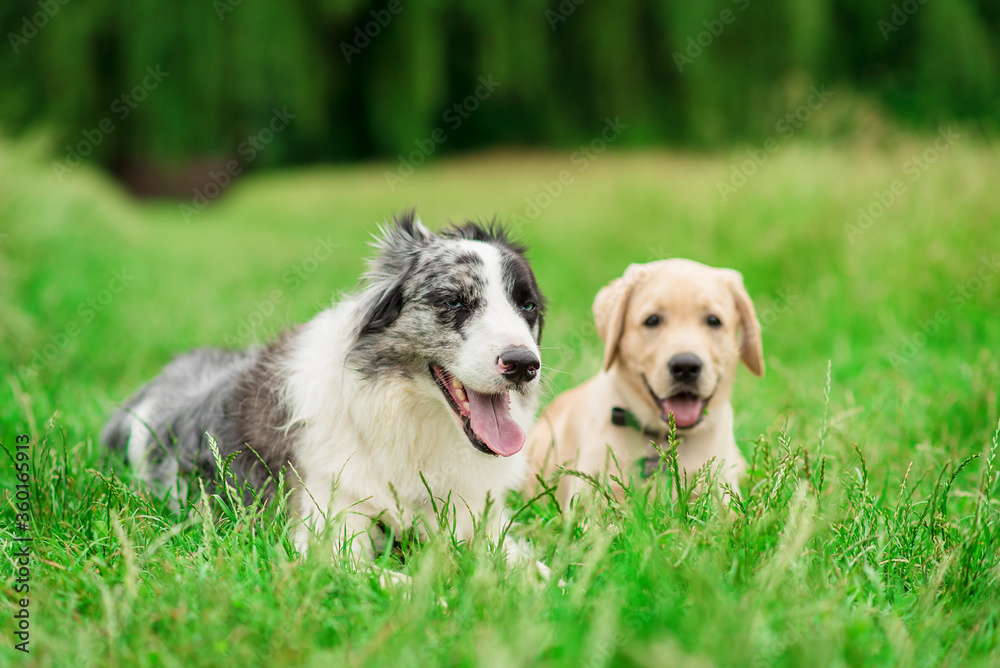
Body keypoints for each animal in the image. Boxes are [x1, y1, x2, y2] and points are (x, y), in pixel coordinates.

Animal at [103, 213, 548, 568]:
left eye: (528, 307)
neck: (401, 414)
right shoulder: (328, 536)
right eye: (454, 301)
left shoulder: (480, 521)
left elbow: (540, 574)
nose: (524, 365)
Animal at [528, 258, 760, 504]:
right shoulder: (590, 495)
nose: (686, 367)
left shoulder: (720, 490)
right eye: (652, 320)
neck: (663, 438)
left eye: (714, 321)